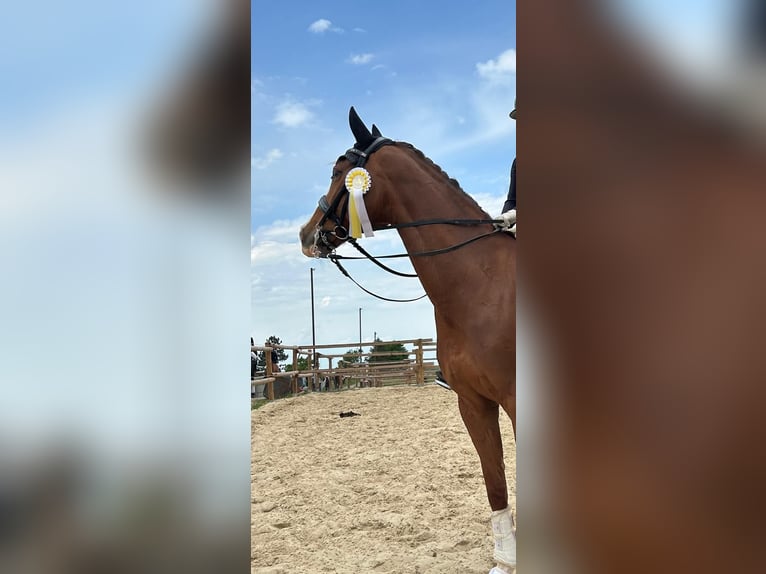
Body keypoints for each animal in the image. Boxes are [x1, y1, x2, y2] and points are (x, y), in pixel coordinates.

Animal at [299, 107, 517, 573]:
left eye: (338, 171)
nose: (307, 235)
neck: (482, 285)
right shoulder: (473, 403)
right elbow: (495, 483)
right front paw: (506, 561)